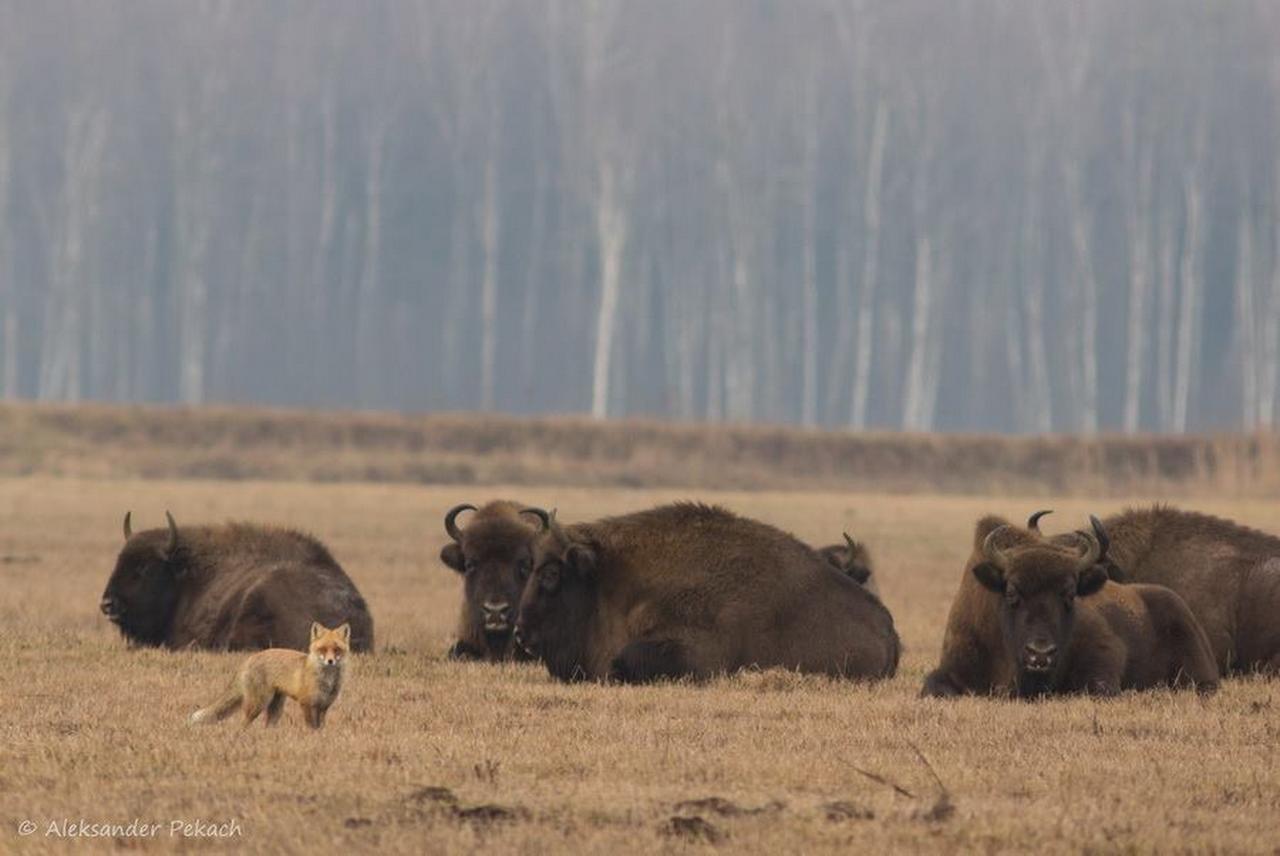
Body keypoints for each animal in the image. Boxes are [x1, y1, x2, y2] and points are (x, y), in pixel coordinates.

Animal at [188, 621, 350, 726]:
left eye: (337, 650)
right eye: (323, 649)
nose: (330, 661)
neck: (327, 681)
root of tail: (250, 657)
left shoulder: (323, 706)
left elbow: (320, 728)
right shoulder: (306, 703)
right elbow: (311, 727)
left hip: (275, 708)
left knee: (267, 726)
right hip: (258, 703)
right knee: (243, 723)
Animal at [509, 504, 901, 685]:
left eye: (552, 573)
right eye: (529, 567)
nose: (521, 633)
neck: (611, 580)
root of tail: (888, 629)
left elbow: (623, 662)